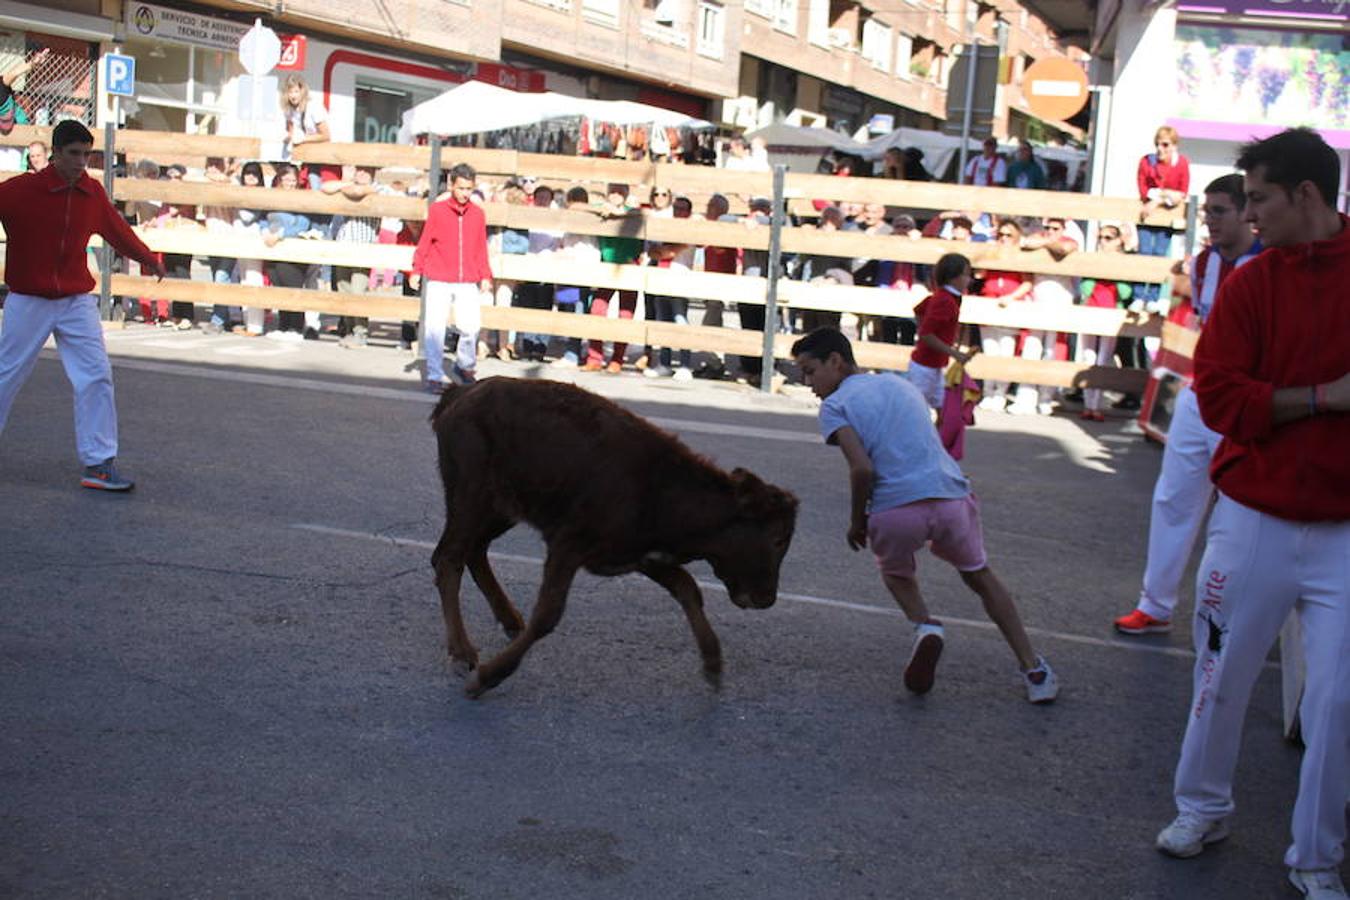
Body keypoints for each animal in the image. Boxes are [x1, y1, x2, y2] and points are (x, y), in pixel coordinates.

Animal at [426, 377, 793, 701]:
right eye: (777, 539)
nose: (766, 599)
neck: (659, 486)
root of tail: (461, 392)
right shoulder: (567, 547)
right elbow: (547, 616)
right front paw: (485, 679)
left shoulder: (642, 557)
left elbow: (688, 589)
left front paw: (713, 665)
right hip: (471, 498)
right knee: (449, 558)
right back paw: (462, 654)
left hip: (502, 510)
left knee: (474, 551)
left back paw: (510, 620)